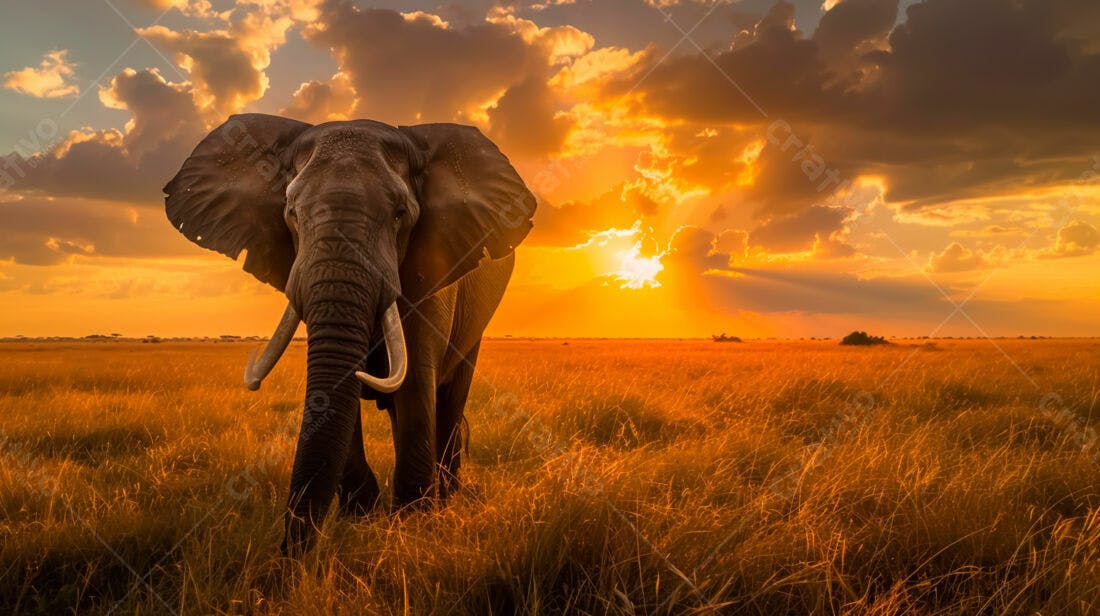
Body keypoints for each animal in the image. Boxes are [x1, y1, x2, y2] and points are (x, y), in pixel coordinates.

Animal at [163, 113, 536, 555]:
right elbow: (335, 390)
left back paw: (445, 498)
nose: (288, 558)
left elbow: (415, 383)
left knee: (449, 398)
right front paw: (362, 517)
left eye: (400, 214)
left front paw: (411, 524)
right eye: (291, 212)